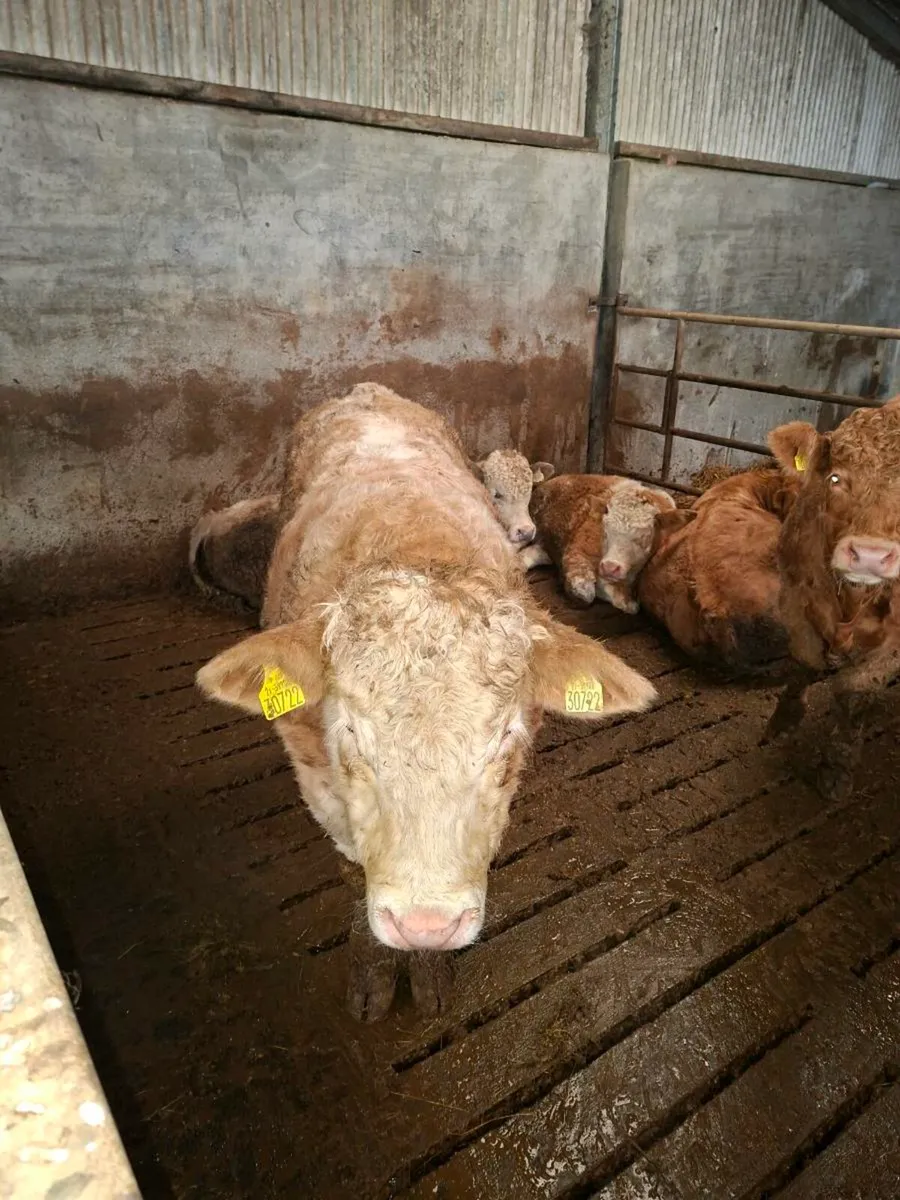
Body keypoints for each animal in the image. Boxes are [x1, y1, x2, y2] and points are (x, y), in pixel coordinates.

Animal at [764, 396, 900, 797]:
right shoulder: (795, 598)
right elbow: (805, 663)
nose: (870, 554)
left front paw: (837, 766)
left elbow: (853, 695)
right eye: (835, 479)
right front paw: (784, 721)